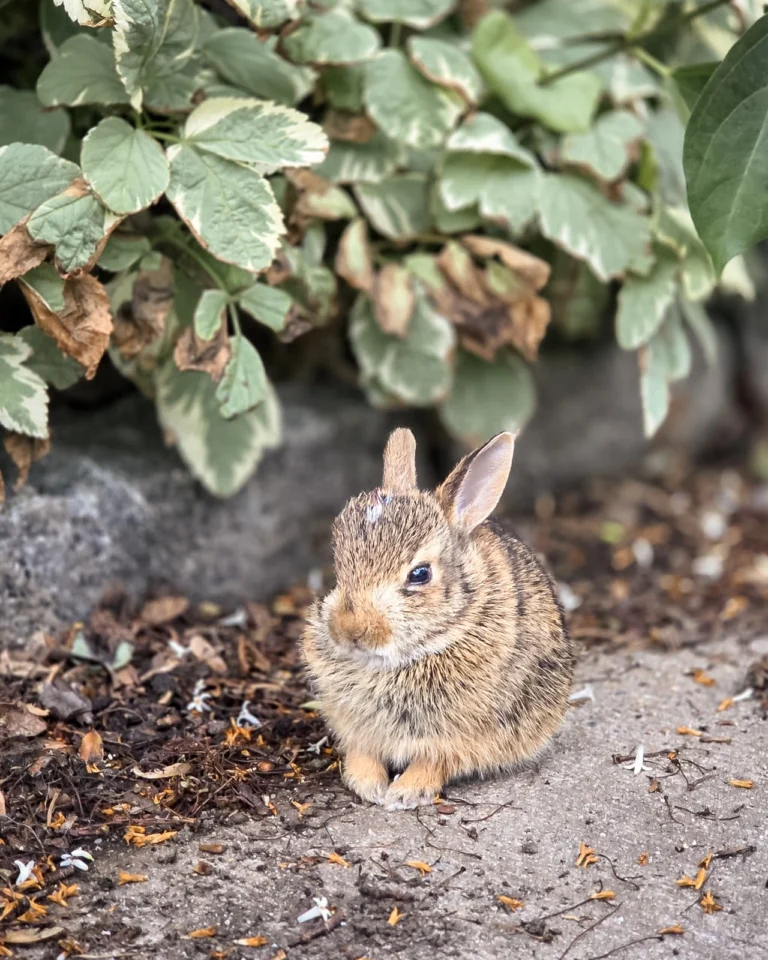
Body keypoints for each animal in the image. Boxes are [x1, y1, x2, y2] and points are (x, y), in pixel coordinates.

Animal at [301, 427, 574, 810]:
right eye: (338, 568)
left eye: (420, 574)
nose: (350, 630)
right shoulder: (354, 723)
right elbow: (363, 751)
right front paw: (367, 784)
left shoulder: (461, 734)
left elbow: (435, 760)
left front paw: (405, 793)